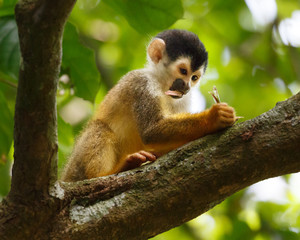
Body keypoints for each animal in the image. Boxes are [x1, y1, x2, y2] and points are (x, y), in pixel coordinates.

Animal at [62, 29, 237, 181]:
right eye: (183, 71)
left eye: (194, 77)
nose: (187, 87)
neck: (161, 84)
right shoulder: (142, 83)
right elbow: (150, 131)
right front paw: (214, 117)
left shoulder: (184, 99)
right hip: (74, 169)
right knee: (99, 127)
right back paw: (104, 174)